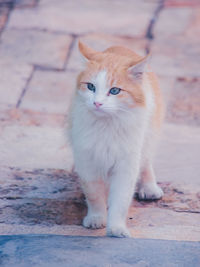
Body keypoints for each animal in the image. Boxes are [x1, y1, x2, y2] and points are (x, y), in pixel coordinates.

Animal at [68, 40, 165, 238]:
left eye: (114, 91)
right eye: (91, 87)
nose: (97, 103)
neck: (107, 125)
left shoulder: (126, 165)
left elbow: (120, 200)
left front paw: (116, 228)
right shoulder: (87, 161)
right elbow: (94, 195)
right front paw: (97, 218)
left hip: (149, 137)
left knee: (146, 162)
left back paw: (149, 188)